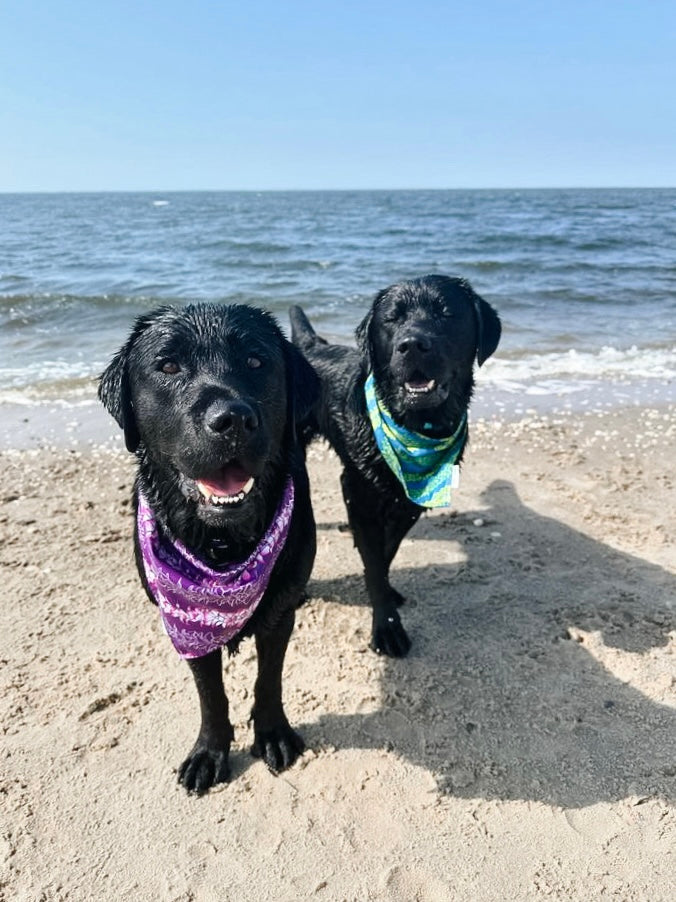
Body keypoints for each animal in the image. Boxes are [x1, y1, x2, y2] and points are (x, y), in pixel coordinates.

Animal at [99, 306, 320, 800]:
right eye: (167, 366)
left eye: (256, 362)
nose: (232, 419)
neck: (222, 545)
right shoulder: (186, 620)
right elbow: (210, 693)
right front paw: (208, 753)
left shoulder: (277, 614)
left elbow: (269, 678)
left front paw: (273, 734)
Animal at [290, 274, 502, 656]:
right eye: (392, 318)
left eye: (446, 312)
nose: (413, 344)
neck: (416, 427)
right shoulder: (357, 490)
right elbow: (374, 560)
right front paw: (387, 626)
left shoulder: (412, 500)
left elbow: (385, 553)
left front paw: (386, 592)